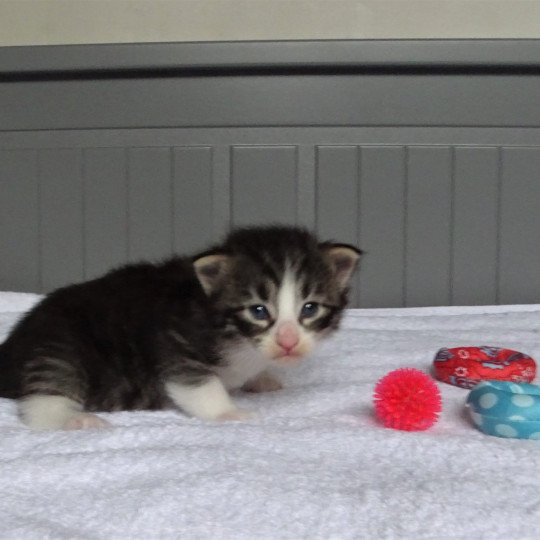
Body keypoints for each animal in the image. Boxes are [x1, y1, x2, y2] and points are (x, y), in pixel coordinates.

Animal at [2, 226, 362, 428]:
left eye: (309, 309)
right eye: (258, 311)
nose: (288, 342)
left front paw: (261, 378)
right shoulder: (176, 342)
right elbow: (199, 384)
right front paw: (227, 414)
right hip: (58, 348)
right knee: (43, 398)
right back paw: (74, 419)